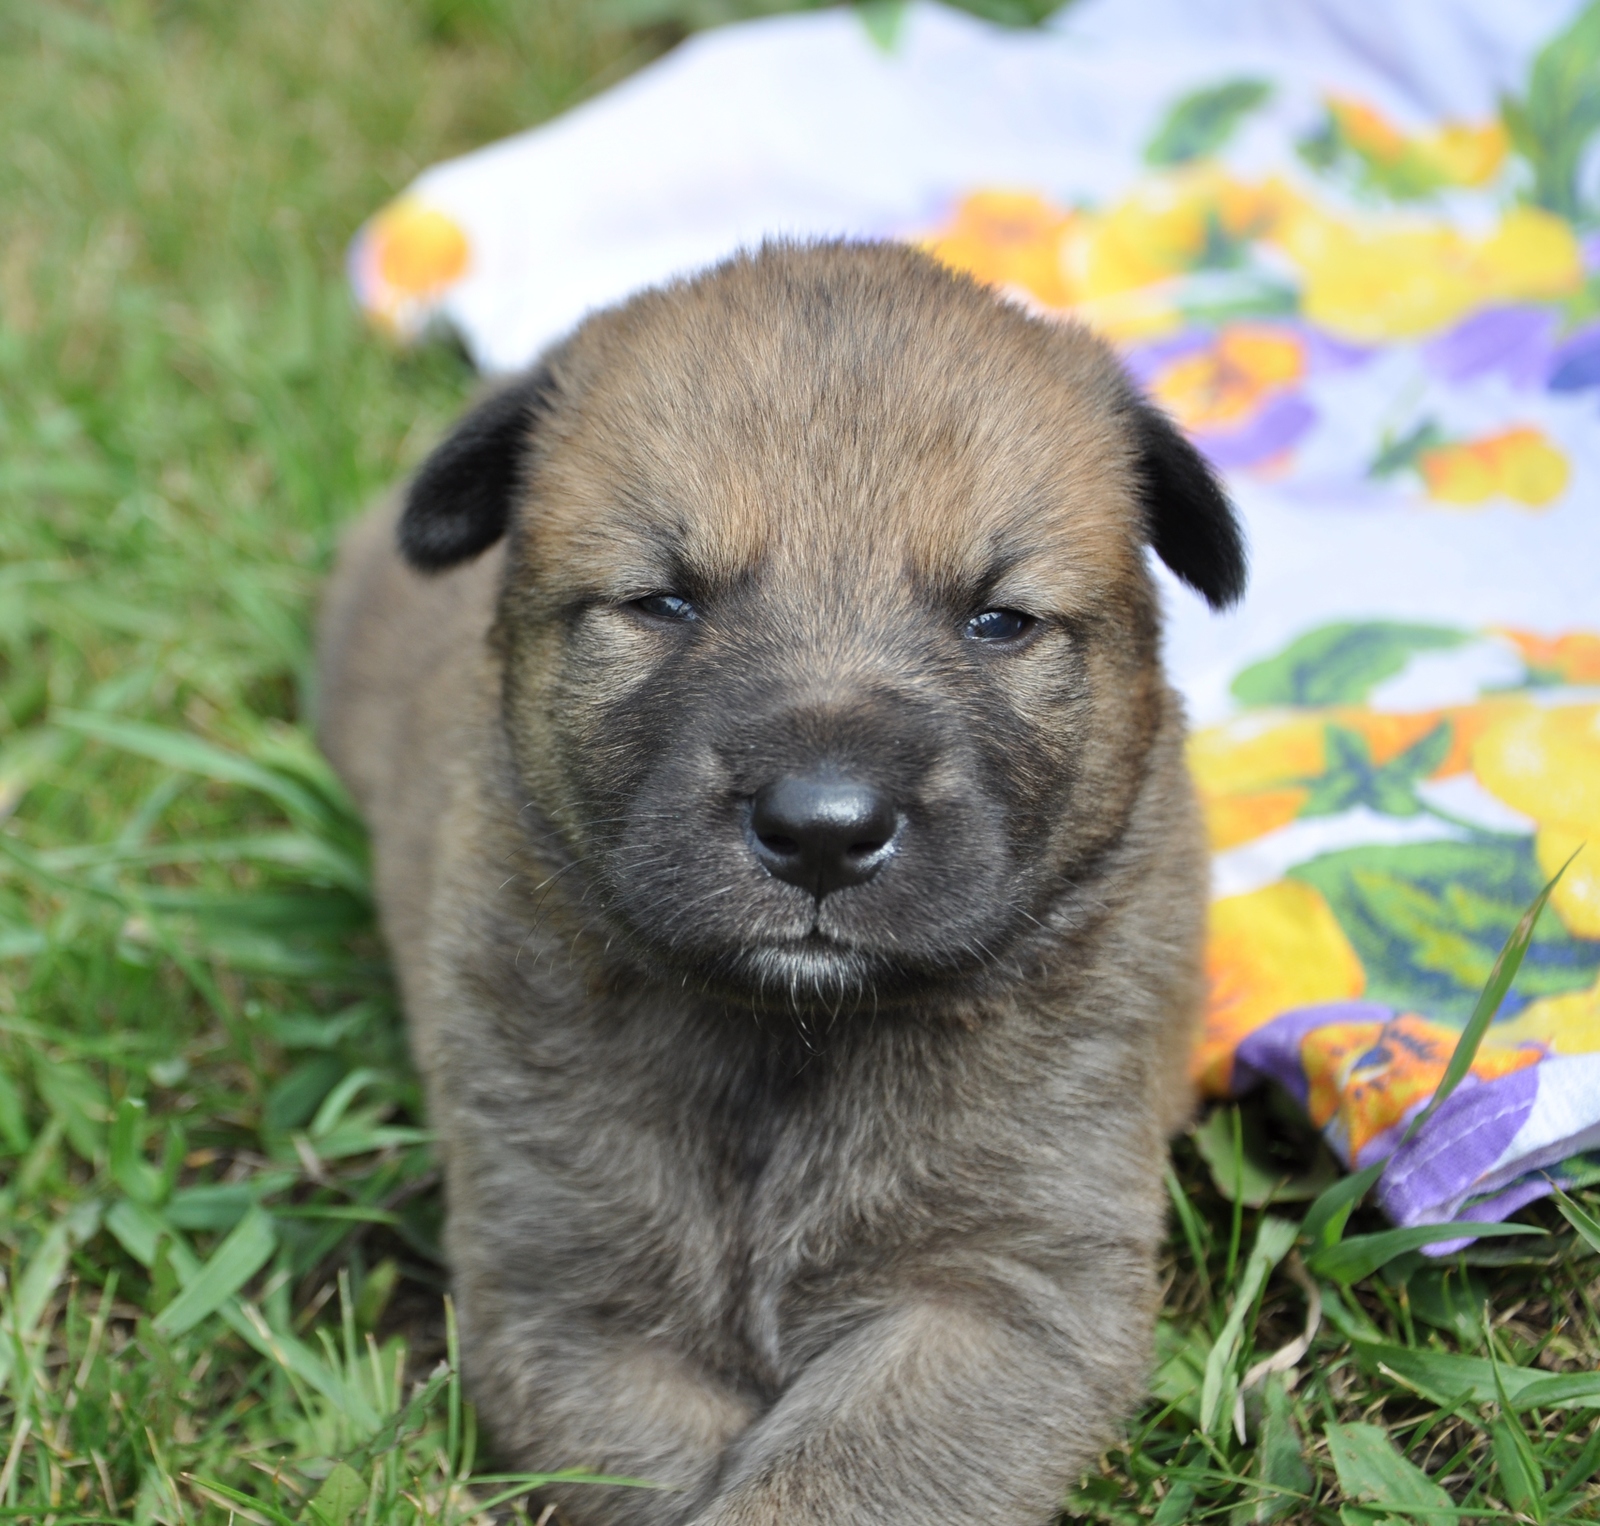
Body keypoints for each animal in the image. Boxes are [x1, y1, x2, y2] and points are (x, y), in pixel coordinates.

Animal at [318, 243, 1241, 1516]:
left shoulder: (999, 1289)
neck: (787, 1043)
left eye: (998, 619)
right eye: (662, 600)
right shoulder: (576, 1303)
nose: (821, 833)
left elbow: (828, 1476)